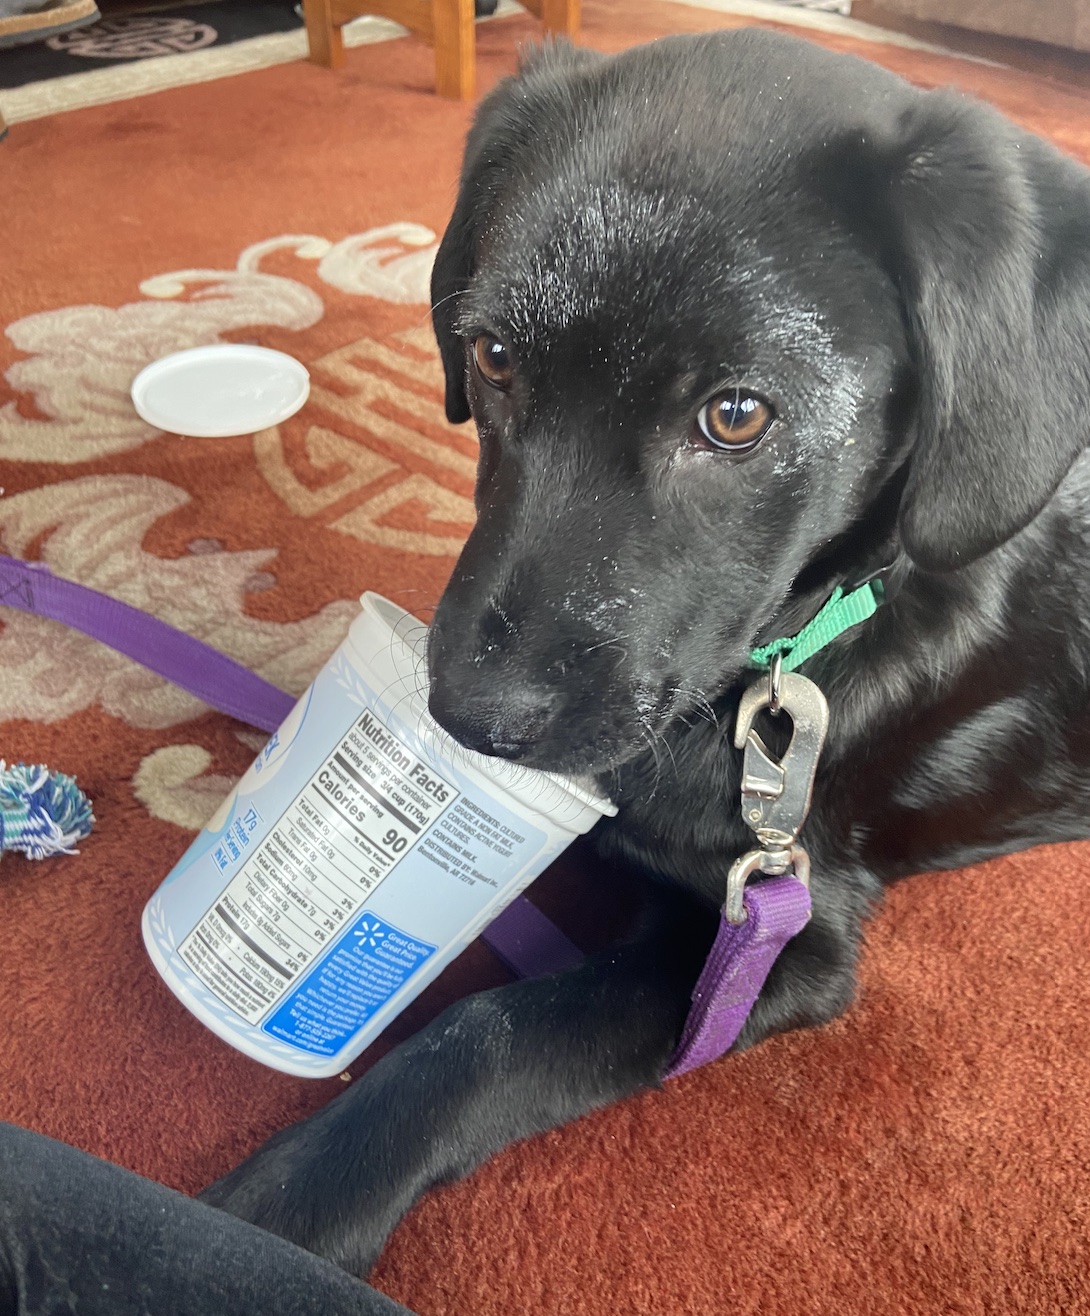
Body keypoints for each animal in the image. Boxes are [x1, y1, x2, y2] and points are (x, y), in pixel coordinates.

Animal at [201, 28, 1090, 1279]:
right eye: (492, 353)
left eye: (736, 415)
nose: (470, 718)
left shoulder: (781, 932)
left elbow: (488, 1029)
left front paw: (277, 1205)